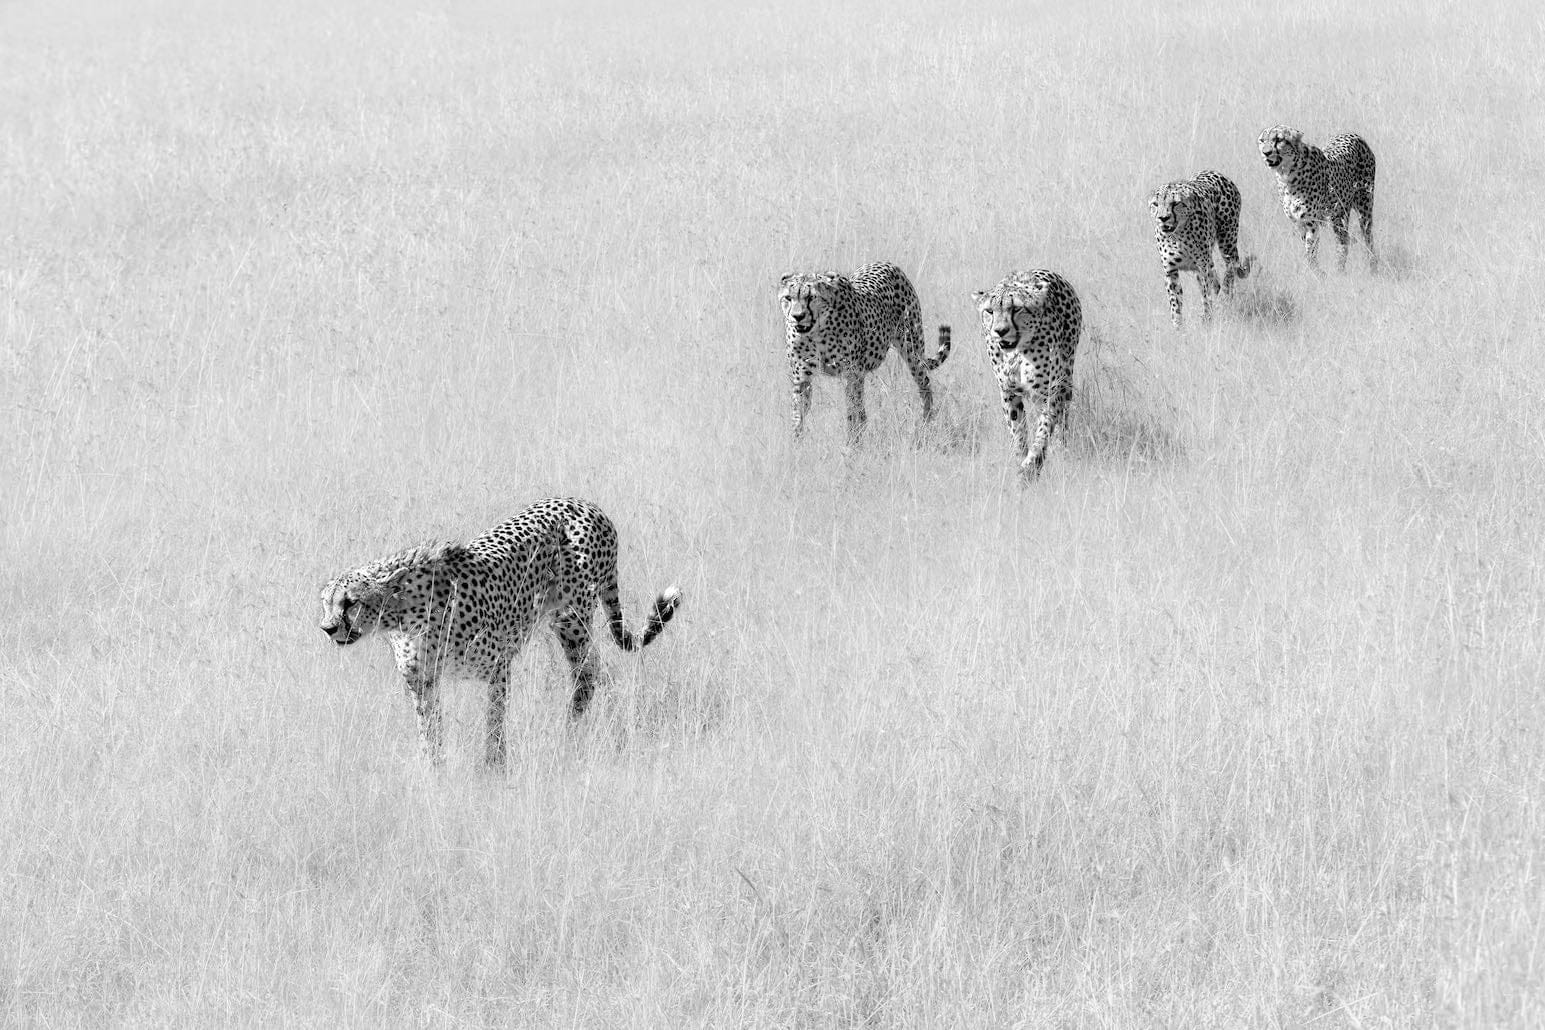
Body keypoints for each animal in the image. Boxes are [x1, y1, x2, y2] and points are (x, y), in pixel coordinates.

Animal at [319, 497, 681, 767]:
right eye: (325, 602)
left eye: (350, 602)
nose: (328, 628)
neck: (403, 613)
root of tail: (585, 503)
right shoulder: (422, 681)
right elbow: (429, 729)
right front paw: (433, 772)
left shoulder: (498, 667)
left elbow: (494, 720)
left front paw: (493, 766)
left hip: (571, 617)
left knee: (589, 672)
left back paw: (568, 734)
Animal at [778, 261, 951, 440]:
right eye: (788, 298)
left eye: (811, 297)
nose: (797, 316)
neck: (816, 332)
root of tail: (887, 263)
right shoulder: (802, 377)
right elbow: (798, 414)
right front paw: (797, 441)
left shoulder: (852, 374)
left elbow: (852, 413)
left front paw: (853, 443)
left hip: (912, 352)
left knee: (925, 385)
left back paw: (926, 423)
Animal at [972, 270, 1082, 480]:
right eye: (990, 311)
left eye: (1016, 309)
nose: (1000, 331)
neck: (1016, 354)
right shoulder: (1008, 393)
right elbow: (1018, 433)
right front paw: (1020, 460)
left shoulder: (1050, 393)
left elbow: (1043, 431)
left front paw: (1031, 467)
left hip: (1065, 379)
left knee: (1062, 420)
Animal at [1150, 169, 1253, 328]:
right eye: (1155, 204)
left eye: (1175, 203)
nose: (1163, 218)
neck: (1177, 236)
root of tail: (1214, 172)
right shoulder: (1171, 271)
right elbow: (1175, 303)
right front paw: (1178, 326)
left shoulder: (1202, 268)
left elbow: (1206, 296)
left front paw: (1207, 318)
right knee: (1217, 281)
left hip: (1227, 243)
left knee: (1229, 269)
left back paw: (1226, 294)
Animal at [1259, 125, 1378, 272]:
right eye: (1262, 140)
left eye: (1279, 139)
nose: (1266, 152)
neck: (1286, 174)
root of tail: (1354, 134)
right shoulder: (1299, 223)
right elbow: (1308, 248)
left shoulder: (1311, 222)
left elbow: (1311, 250)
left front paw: (1316, 272)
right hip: (1339, 215)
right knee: (1343, 241)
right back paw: (1341, 269)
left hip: (1363, 205)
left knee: (1366, 237)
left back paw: (1371, 267)